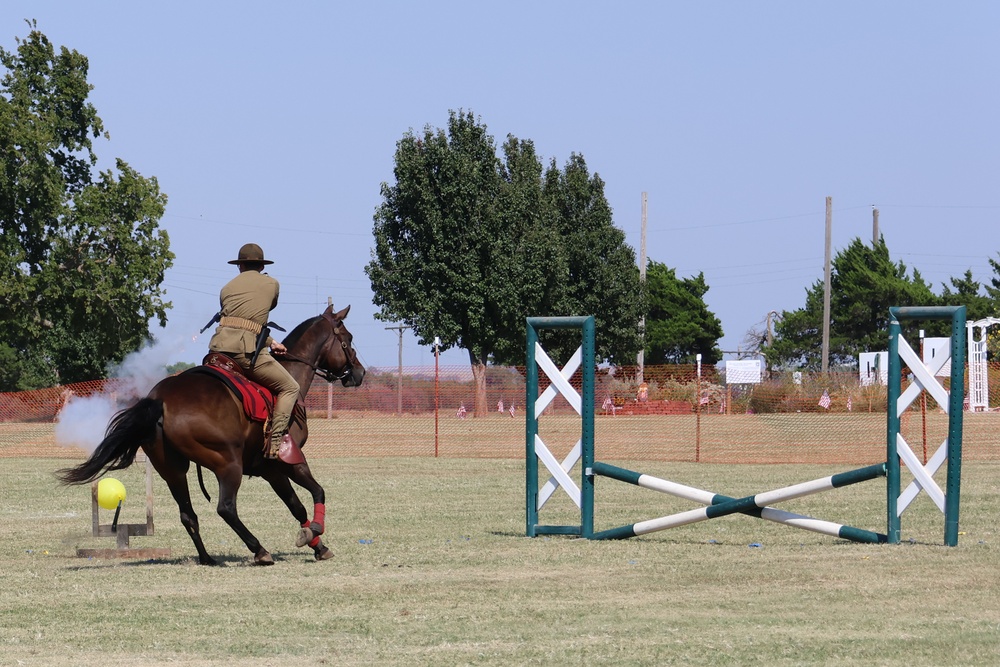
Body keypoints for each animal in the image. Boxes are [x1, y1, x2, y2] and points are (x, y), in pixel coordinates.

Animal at [56, 306, 366, 568]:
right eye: (348, 339)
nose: (360, 373)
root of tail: (160, 400)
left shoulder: (269, 469)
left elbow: (296, 505)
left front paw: (316, 543)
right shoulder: (286, 462)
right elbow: (313, 495)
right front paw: (316, 536)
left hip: (172, 470)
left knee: (188, 514)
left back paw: (206, 558)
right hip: (227, 465)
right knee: (226, 508)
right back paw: (259, 551)